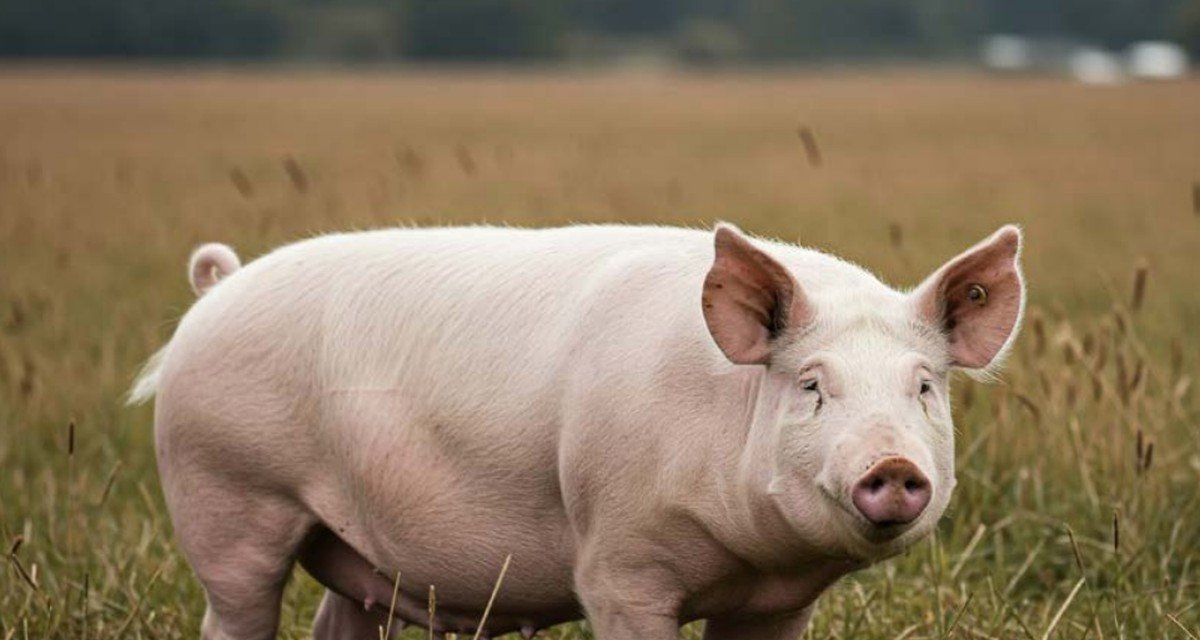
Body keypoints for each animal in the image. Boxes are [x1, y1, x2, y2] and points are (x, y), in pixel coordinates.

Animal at [130, 223, 1024, 640]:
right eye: (812, 385)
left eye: (923, 387)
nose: (894, 465)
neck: (751, 560)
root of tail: (216, 292)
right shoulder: (618, 564)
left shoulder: (780, 605)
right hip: (228, 493)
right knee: (236, 607)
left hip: (345, 545)